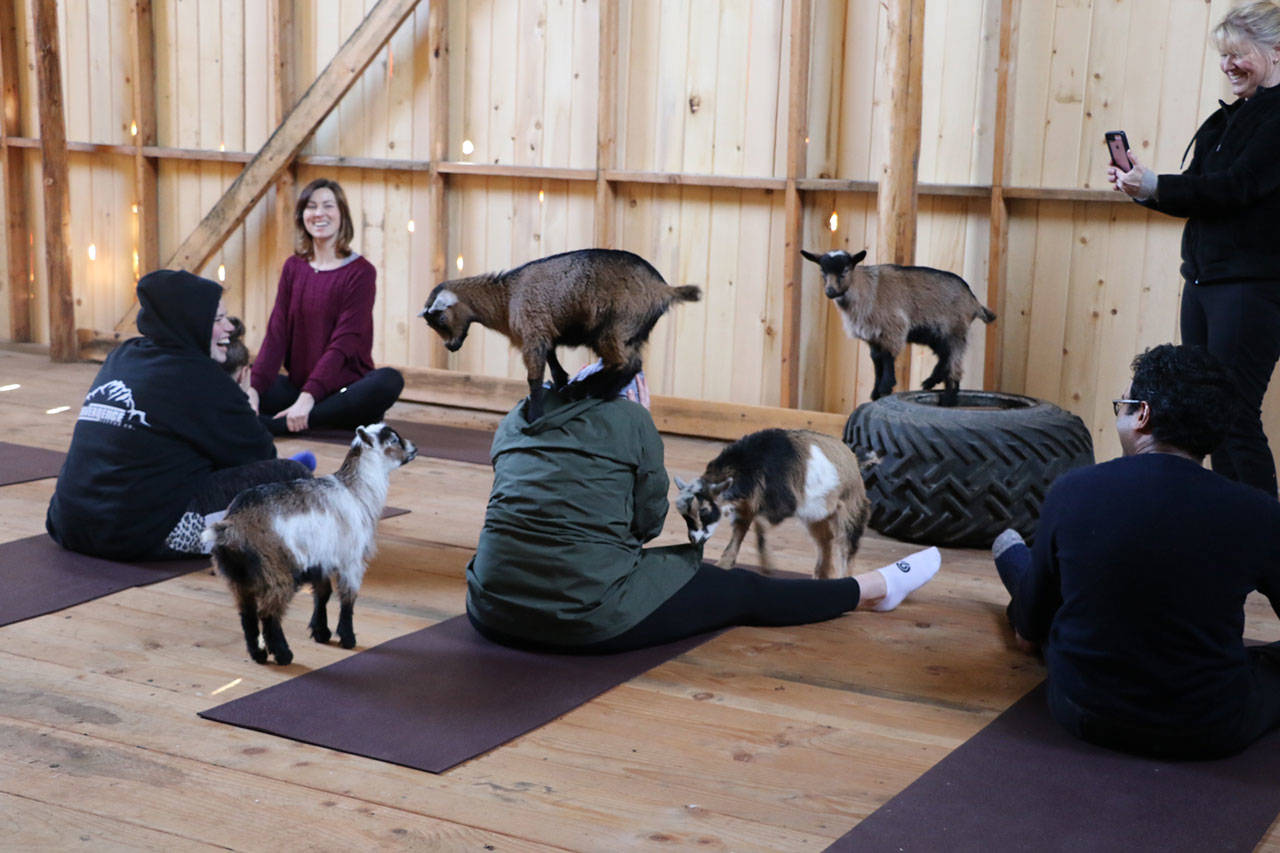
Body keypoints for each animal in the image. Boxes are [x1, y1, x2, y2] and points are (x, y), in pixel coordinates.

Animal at [202, 422, 417, 660]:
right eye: (393, 440)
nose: (414, 448)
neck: (356, 491)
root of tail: (231, 525)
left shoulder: (320, 559)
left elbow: (322, 594)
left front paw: (321, 632)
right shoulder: (351, 559)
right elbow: (347, 598)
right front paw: (347, 638)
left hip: (239, 578)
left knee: (247, 614)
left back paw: (258, 654)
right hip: (275, 569)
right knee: (268, 613)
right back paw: (283, 654)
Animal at [419, 245, 701, 417]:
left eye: (440, 319)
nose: (450, 346)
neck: (506, 297)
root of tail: (663, 289)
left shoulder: (532, 333)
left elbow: (533, 377)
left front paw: (535, 415)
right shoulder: (545, 332)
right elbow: (553, 362)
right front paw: (561, 381)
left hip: (615, 327)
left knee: (625, 363)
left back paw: (587, 390)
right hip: (632, 332)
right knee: (630, 364)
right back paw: (589, 390)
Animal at [670, 425, 870, 578]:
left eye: (704, 510)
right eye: (684, 515)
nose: (694, 539)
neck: (751, 464)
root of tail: (852, 459)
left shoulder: (782, 505)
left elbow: (759, 525)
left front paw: (768, 565)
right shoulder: (747, 504)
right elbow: (740, 531)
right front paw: (724, 564)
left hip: (850, 511)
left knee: (846, 547)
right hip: (817, 516)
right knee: (825, 542)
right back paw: (821, 575)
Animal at [798, 245, 998, 404]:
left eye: (845, 270)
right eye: (822, 272)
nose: (830, 291)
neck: (866, 289)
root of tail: (973, 302)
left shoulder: (893, 328)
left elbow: (887, 357)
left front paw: (886, 386)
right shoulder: (872, 335)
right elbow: (876, 359)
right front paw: (875, 391)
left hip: (955, 329)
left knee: (954, 360)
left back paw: (948, 396)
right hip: (936, 334)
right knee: (945, 356)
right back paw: (931, 382)